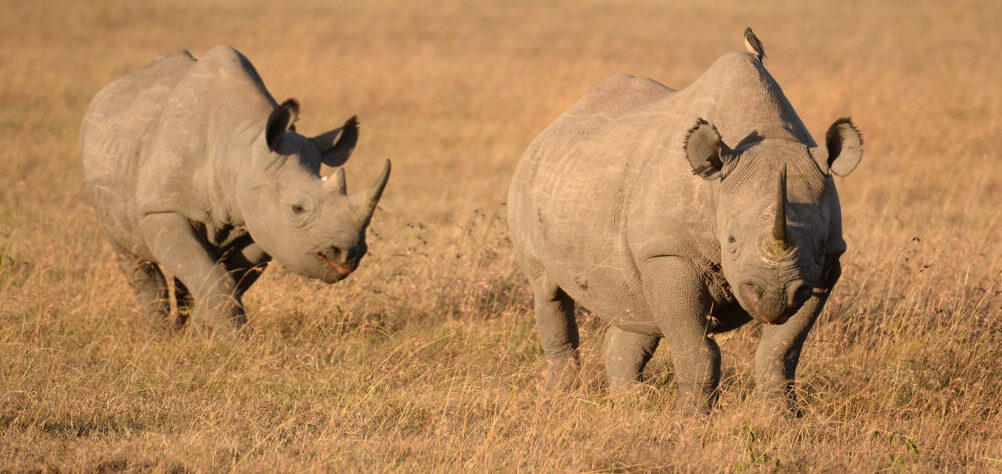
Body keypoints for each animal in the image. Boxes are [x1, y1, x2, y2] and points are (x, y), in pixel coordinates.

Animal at [80, 46, 390, 335]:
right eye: (297, 208)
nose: (349, 254)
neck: (244, 150)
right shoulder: (162, 209)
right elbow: (212, 276)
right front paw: (233, 342)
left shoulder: (260, 223)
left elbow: (223, 277)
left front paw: (201, 337)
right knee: (132, 256)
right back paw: (155, 335)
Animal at [507, 30, 862, 414]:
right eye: (731, 241)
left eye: (817, 245)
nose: (773, 296)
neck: (770, 135)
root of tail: (552, 127)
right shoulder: (669, 251)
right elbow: (697, 348)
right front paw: (690, 419)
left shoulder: (824, 267)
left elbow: (781, 350)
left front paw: (782, 417)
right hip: (531, 181)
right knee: (549, 292)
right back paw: (561, 398)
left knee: (638, 310)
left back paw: (629, 406)